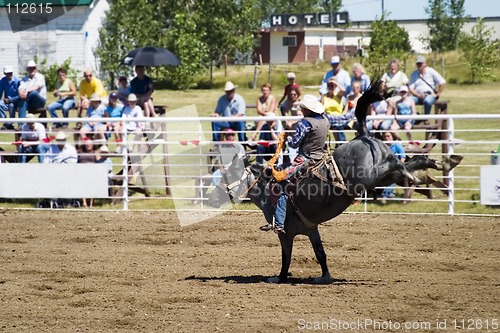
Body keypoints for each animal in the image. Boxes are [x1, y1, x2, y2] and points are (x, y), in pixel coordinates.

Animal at [208, 78, 460, 282]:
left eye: (223, 177)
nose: (210, 198)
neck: (268, 190)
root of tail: (364, 135)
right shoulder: (311, 229)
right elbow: (320, 253)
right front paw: (325, 277)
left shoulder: (285, 234)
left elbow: (286, 258)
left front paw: (279, 278)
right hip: (386, 175)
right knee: (413, 161)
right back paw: (442, 164)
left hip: (373, 176)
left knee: (401, 165)